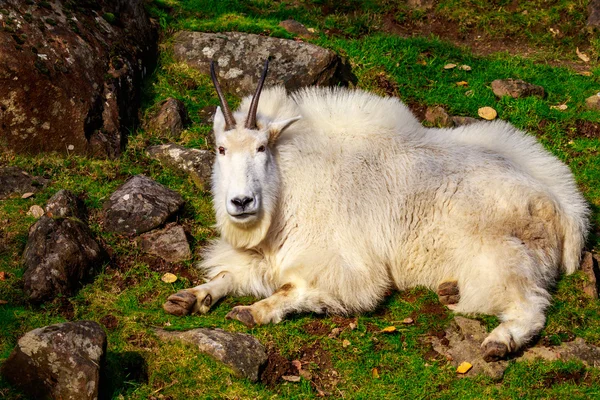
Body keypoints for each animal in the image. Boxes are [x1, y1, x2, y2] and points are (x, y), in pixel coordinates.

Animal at [165, 61, 592, 360]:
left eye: (261, 148)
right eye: (221, 149)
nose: (241, 203)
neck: (289, 187)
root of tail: (566, 210)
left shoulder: (346, 266)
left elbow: (293, 288)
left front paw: (251, 312)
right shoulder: (266, 256)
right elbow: (227, 275)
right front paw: (188, 297)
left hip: (505, 257)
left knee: (530, 306)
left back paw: (499, 341)